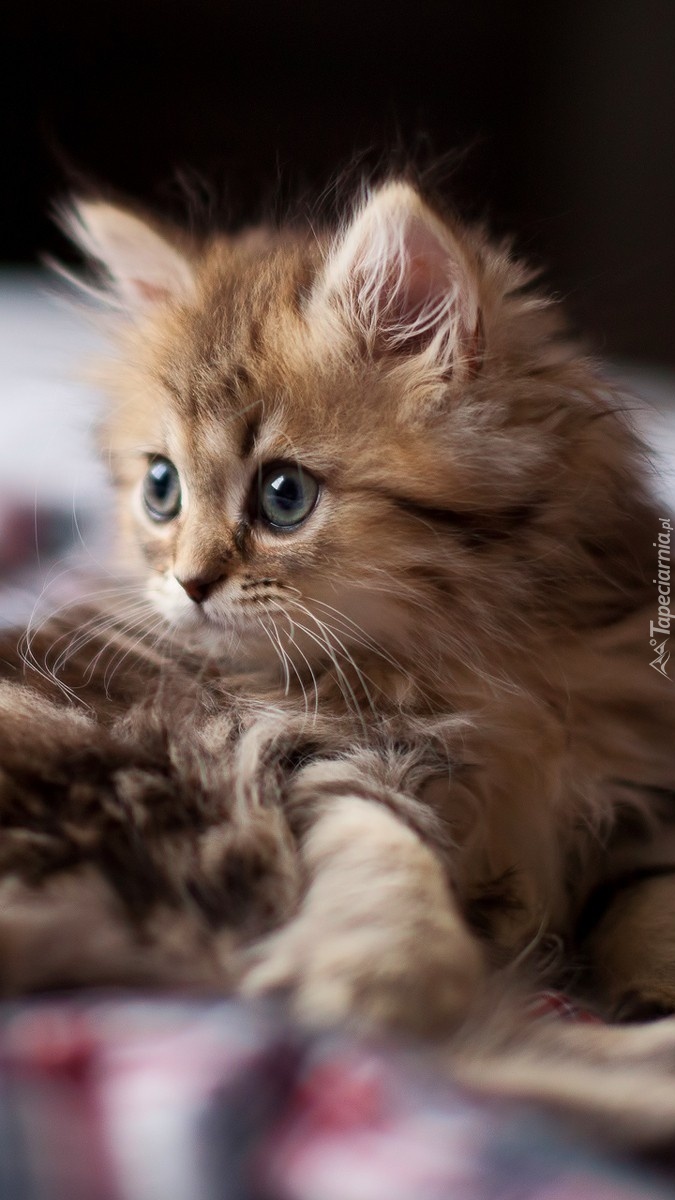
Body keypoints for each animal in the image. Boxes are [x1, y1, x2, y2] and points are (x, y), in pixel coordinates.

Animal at [0, 177, 667, 1041]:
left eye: (285, 496)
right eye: (160, 488)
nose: (187, 583)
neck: (480, 661)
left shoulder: (636, 758)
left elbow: (649, 888)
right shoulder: (317, 753)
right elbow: (386, 851)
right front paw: (383, 976)